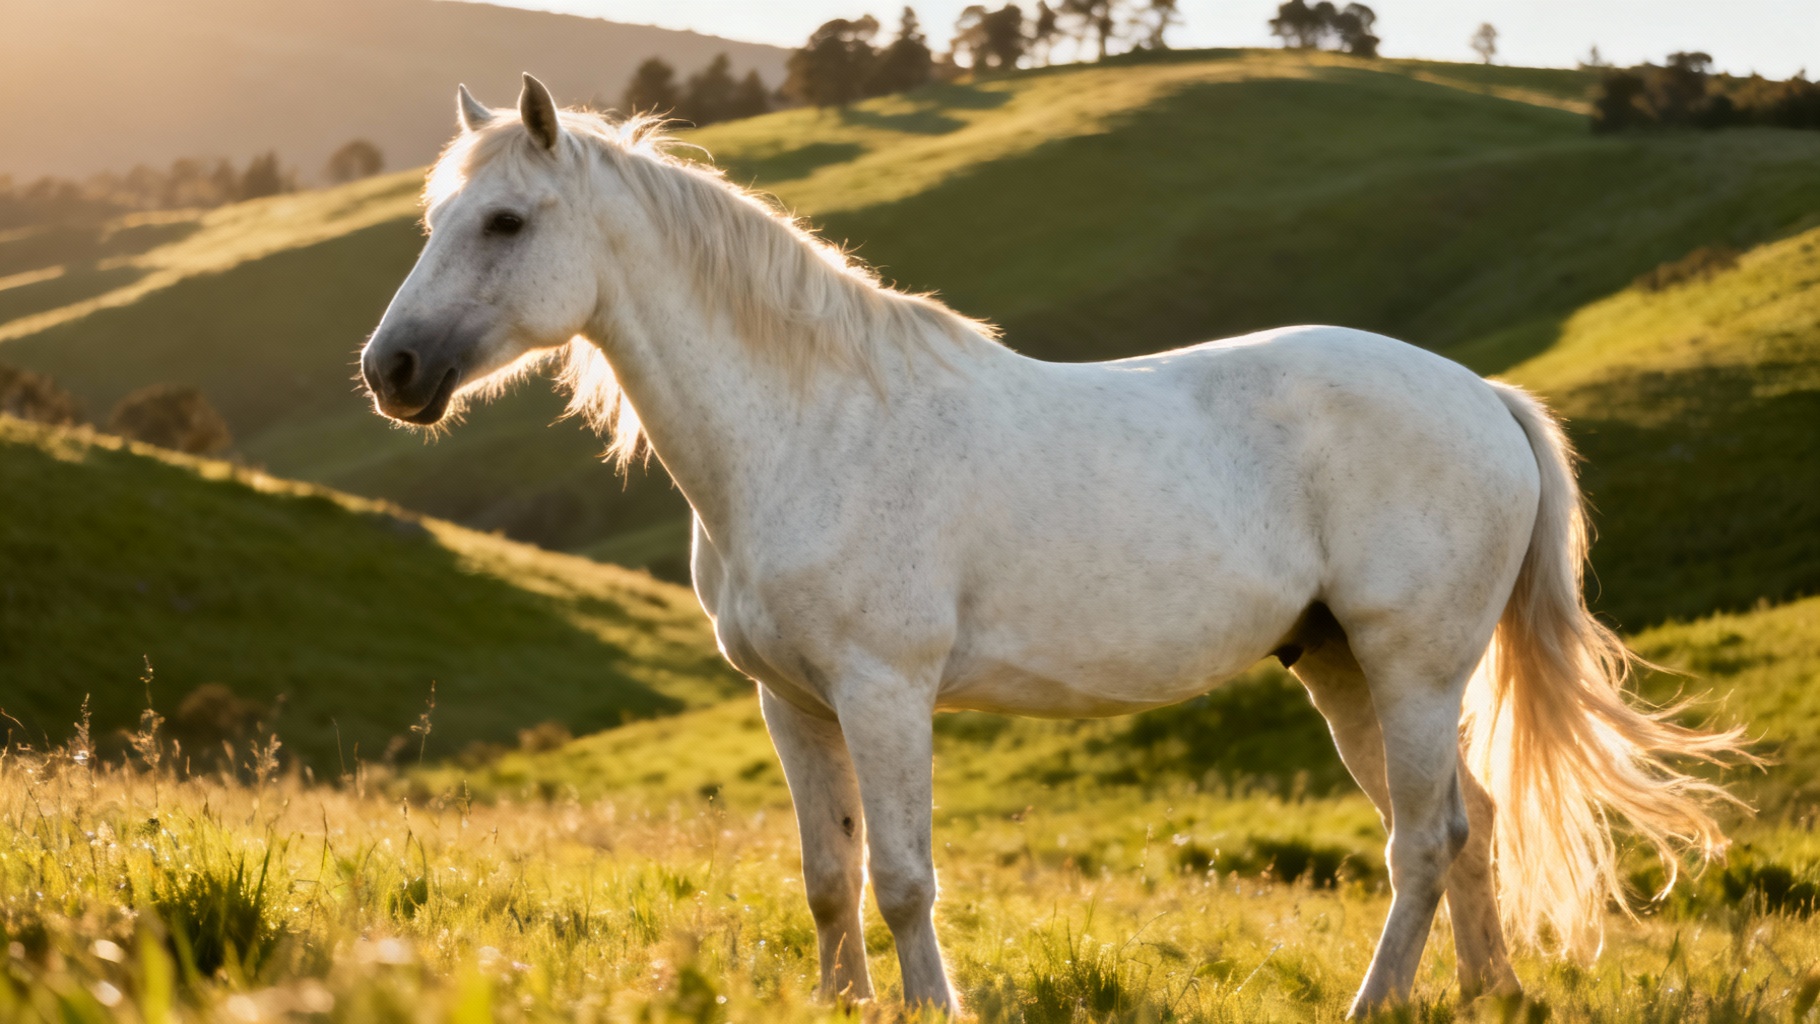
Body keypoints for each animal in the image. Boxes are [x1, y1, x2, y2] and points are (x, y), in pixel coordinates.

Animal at [359, 75, 1749, 1016]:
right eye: (438, 214)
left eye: (506, 222)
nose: (393, 371)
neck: (811, 423)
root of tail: (1483, 396)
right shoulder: (790, 703)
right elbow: (827, 874)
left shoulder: (883, 690)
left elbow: (902, 877)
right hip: (1343, 668)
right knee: (1465, 823)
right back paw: (1482, 992)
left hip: (1410, 668)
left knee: (1419, 842)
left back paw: (1377, 1002)